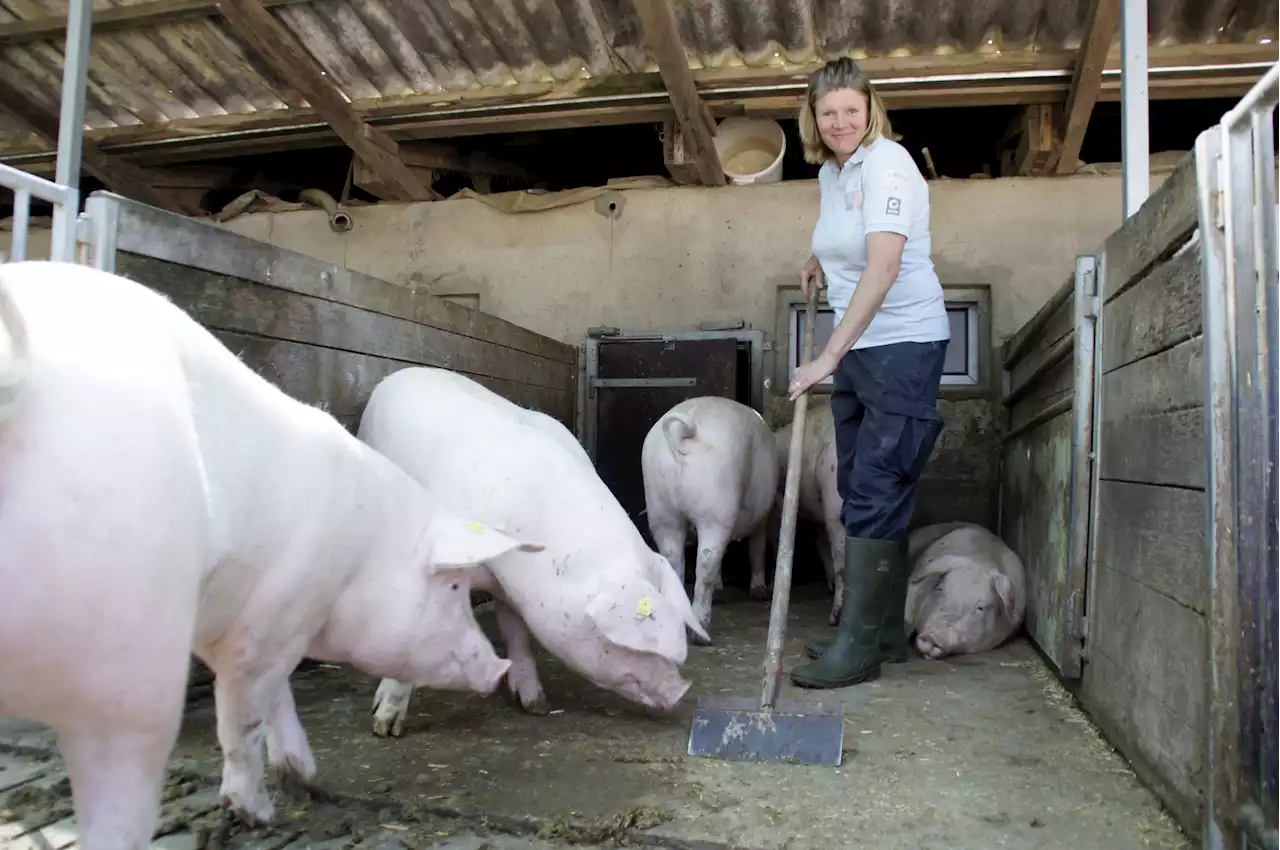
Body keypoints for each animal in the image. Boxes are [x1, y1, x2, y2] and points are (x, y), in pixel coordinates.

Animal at [0, 261, 545, 850]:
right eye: (452, 587)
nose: (497, 667)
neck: (360, 555)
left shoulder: (273, 621)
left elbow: (275, 699)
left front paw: (304, 776)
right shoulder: (268, 622)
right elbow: (241, 717)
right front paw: (256, 811)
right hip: (124, 649)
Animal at [355, 368, 706, 742]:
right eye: (633, 645)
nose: (681, 691)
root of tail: (402, 372)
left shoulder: (512, 589)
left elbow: (517, 632)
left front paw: (535, 705)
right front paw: (384, 727)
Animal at [640, 394, 778, 640]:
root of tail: (685, 431)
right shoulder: (761, 518)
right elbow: (757, 549)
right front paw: (759, 593)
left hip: (660, 508)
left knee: (673, 556)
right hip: (715, 508)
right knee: (707, 561)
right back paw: (702, 633)